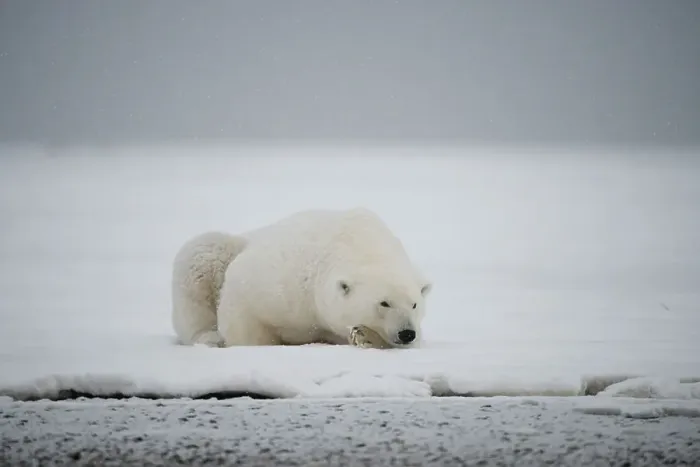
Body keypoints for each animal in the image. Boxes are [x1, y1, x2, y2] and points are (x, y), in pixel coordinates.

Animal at [171, 208, 431, 349]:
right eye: (384, 303)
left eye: (414, 304)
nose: (406, 333)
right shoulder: (284, 280)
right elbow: (243, 310)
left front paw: (365, 336)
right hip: (224, 248)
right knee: (201, 254)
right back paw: (210, 337)